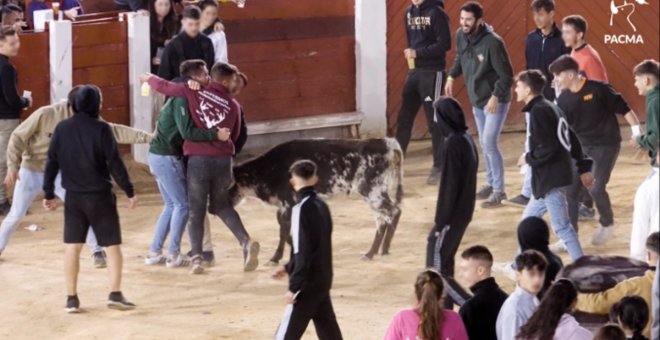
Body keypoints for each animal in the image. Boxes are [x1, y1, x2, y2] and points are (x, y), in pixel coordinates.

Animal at [227, 138, 404, 266]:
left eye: (227, 185)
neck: (269, 168)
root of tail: (385, 143)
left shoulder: (288, 204)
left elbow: (284, 230)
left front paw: (275, 258)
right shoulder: (285, 207)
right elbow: (288, 230)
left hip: (372, 191)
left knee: (393, 212)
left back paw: (379, 251)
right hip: (375, 193)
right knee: (383, 219)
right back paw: (374, 252)